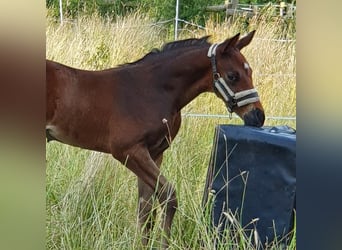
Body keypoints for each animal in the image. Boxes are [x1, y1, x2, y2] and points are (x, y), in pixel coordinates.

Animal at [46, 30, 264, 248]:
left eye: (250, 72)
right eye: (233, 76)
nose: (258, 116)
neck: (151, 90)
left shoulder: (155, 153)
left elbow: (146, 209)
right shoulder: (128, 152)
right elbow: (168, 197)